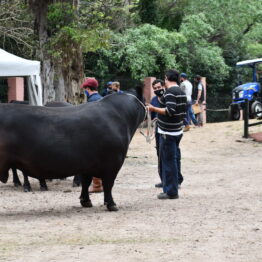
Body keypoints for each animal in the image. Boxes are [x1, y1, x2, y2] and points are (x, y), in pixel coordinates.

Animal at [0, 93, 145, 211]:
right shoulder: (113, 163)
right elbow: (108, 184)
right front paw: (112, 204)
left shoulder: (88, 165)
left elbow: (86, 182)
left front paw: (85, 201)